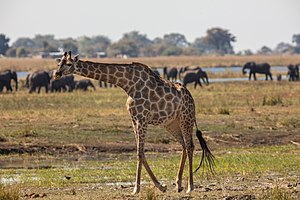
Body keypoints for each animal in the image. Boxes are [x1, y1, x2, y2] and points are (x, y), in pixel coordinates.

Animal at [54, 51, 213, 194]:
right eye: (59, 62)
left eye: (69, 64)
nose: (56, 74)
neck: (128, 84)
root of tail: (191, 99)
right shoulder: (134, 119)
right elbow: (139, 152)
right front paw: (160, 186)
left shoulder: (142, 119)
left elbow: (140, 153)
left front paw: (137, 188)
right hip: (171, 123)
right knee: (183, 145)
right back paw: (178, 184)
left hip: (186, 119)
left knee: (190, 146)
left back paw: (189, 187)